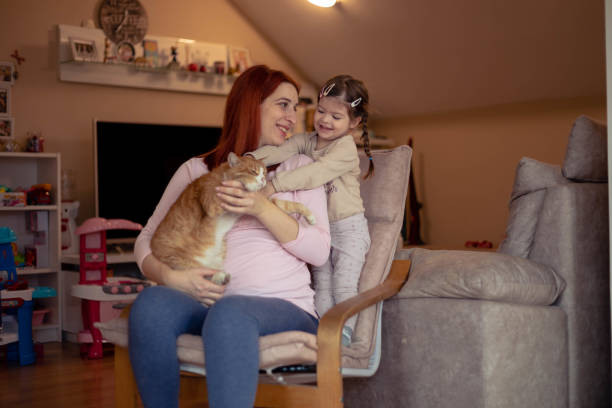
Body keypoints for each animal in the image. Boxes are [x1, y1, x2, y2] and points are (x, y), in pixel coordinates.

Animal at [149, 151, 316, 286]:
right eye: (253, 171)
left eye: (264, 173)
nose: (263, 181)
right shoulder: (213, 204)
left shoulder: (267, 203)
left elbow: (287, 204)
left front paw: (309, 216)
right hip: (180, 260)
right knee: (197, 273)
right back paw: (219, 277)